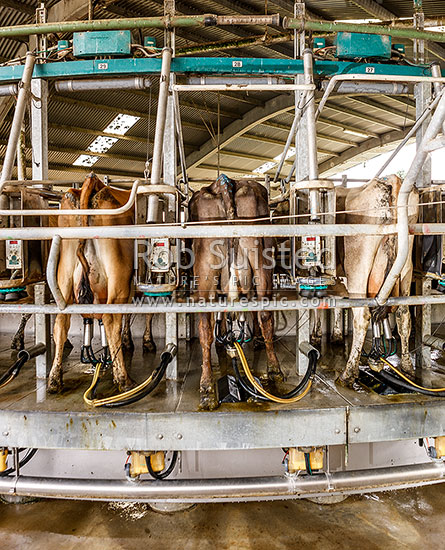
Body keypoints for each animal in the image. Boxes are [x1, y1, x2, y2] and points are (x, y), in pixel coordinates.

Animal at [188, 175, 280, 412]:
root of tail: (225, 182)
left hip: (206, 271)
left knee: (205, 327)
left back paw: (206, 385)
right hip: (261, 264)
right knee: (264, 314)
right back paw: (274, 369)